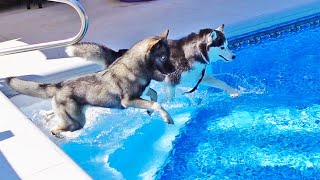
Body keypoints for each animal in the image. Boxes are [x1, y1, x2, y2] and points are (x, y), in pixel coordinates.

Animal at [6, 29, 175, 138]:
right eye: (163, 57)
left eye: (168, 55)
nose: (174, 69)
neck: (136, 67)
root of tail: (59, 85)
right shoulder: (128, 101)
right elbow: (157, 104)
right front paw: (167, 117)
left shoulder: (142, 92)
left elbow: (154, 94)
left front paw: (150, 111)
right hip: (76, 122)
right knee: (56, 130)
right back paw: (65, 136)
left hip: (70, 115)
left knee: (53, 115)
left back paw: (47, 117)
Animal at [66, 25, 239, 101]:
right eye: (222, 47)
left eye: (228, 45)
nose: (234, 56)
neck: (190, 54)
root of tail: (117, 54)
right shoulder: (171, 81)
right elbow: (171, 97)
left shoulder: (198, 77)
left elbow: (221, 83)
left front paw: (233, 92)